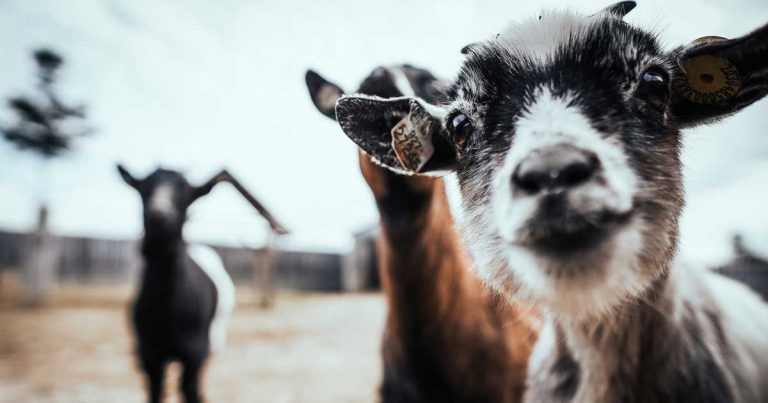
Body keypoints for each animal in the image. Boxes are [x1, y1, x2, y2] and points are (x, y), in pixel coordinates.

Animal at [118, 166, 235, 403]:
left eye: (186, 192)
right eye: (143, 187)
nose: (159, 214)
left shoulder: (195, 353)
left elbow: (191, 391)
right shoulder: (149, 356)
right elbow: (155, 392)